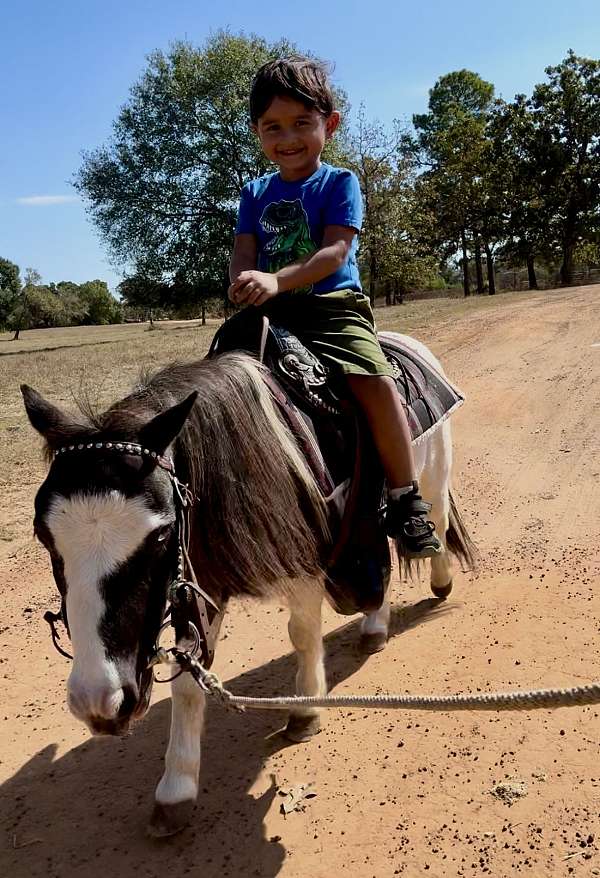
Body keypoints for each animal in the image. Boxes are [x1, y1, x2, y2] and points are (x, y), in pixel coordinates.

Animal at [21, 334, 472, 836]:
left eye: (159, 534)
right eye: (44, 535)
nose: (99, 701)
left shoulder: (300, 558)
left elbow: (302, 634)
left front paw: (305, 711)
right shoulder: (198, 578)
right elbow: (189, 677)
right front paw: (176, 787)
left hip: (430, 475)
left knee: (434, 519)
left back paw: (436, 580)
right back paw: (375, 624)